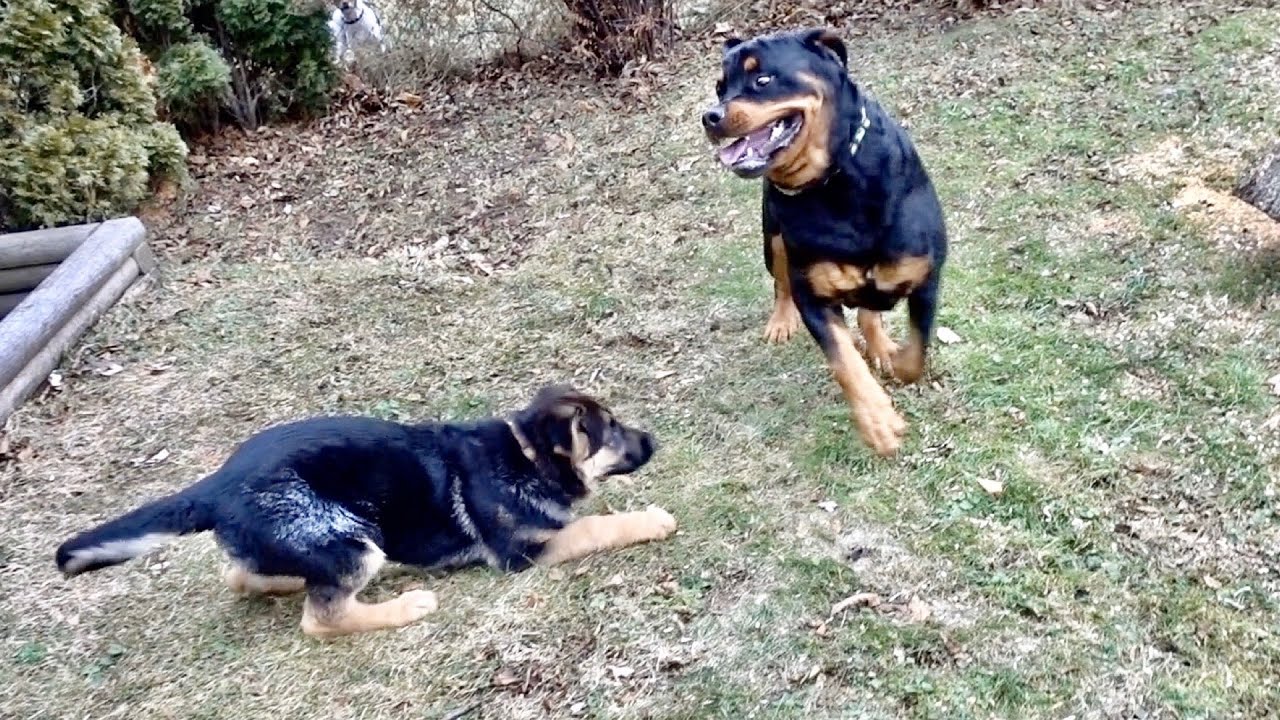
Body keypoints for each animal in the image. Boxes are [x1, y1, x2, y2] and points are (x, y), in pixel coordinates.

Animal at [55, 384, 675, 635]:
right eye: (612, 431)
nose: (653, 441)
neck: (525, 453)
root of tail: (218, 484)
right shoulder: (527, 549)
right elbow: (596, 525)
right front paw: (651, 519)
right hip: (351, 538)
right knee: (321, 619)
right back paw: (405, 605)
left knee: (241, 574)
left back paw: (286, 581)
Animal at [706, 29, 947, 453]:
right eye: (720, 88)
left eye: (762, 80)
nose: (710, 116)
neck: (833, 181)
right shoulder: (814, 299)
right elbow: (844, 362)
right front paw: (878, 421)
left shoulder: (925, 277)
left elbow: (916, 353)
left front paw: (895, 362)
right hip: (773, 239)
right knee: (780, 280)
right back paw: (781, 321)